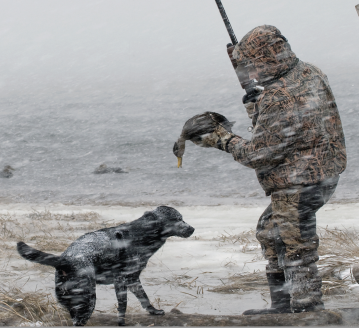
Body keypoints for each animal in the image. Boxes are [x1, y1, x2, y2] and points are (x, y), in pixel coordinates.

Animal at [17, 206, 194, 324]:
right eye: (178, 219)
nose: (192, 229)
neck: (140, 235)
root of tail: (64, 260)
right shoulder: (121, 280)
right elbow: (123, 306)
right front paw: (122, 323)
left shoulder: (133, 279)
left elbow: (144, 298)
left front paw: (154, 311)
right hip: (87, 300)